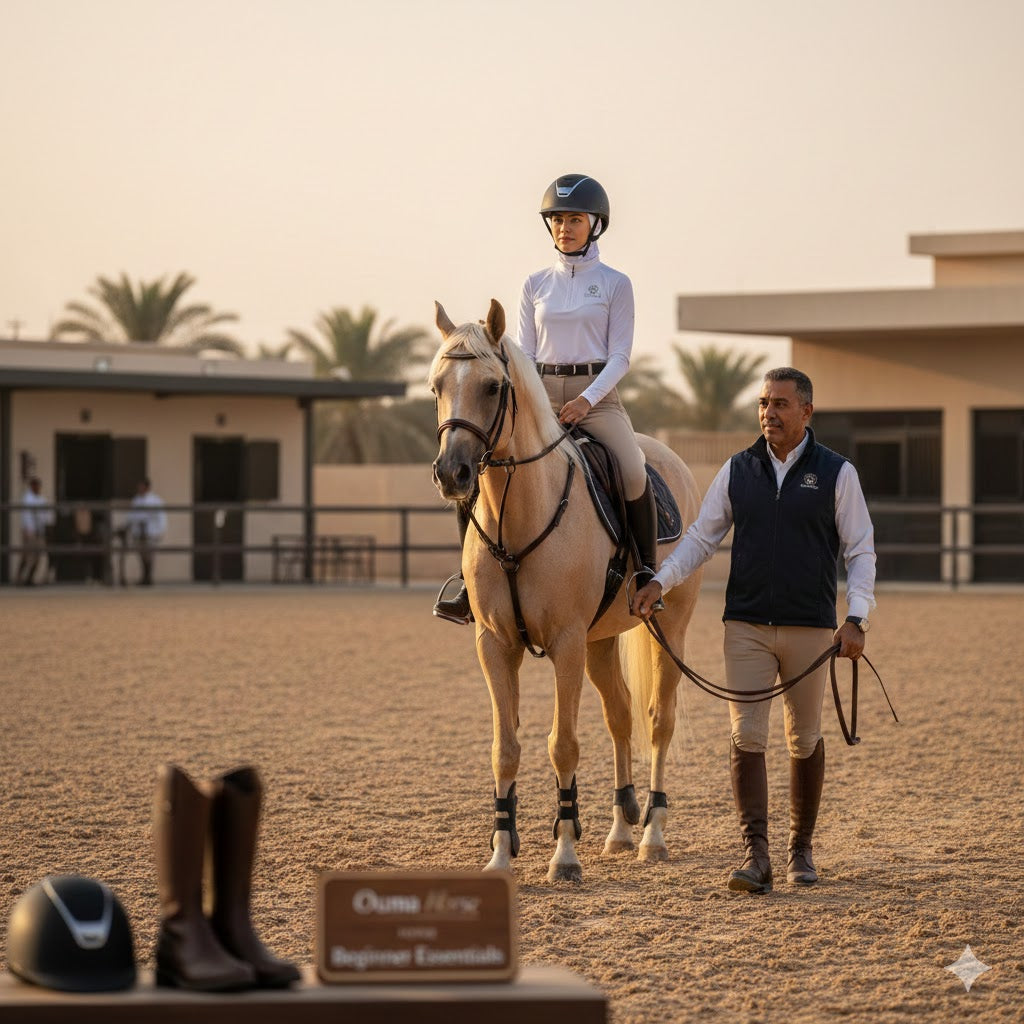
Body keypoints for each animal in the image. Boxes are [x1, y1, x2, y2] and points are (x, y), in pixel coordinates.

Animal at [429, 299, 703, 882]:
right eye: (436, 384)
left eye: (492, 386)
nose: (452, 473)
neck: (520, 516)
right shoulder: (495, 645)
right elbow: (505, 748)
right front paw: (501, 853)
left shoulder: (566, 644)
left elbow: (563, 745)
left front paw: (564, 857)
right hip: (601, 642)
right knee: (620, 716)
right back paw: (620, 829)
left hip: (668, 627)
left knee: (657, 722)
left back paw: (652, 835)